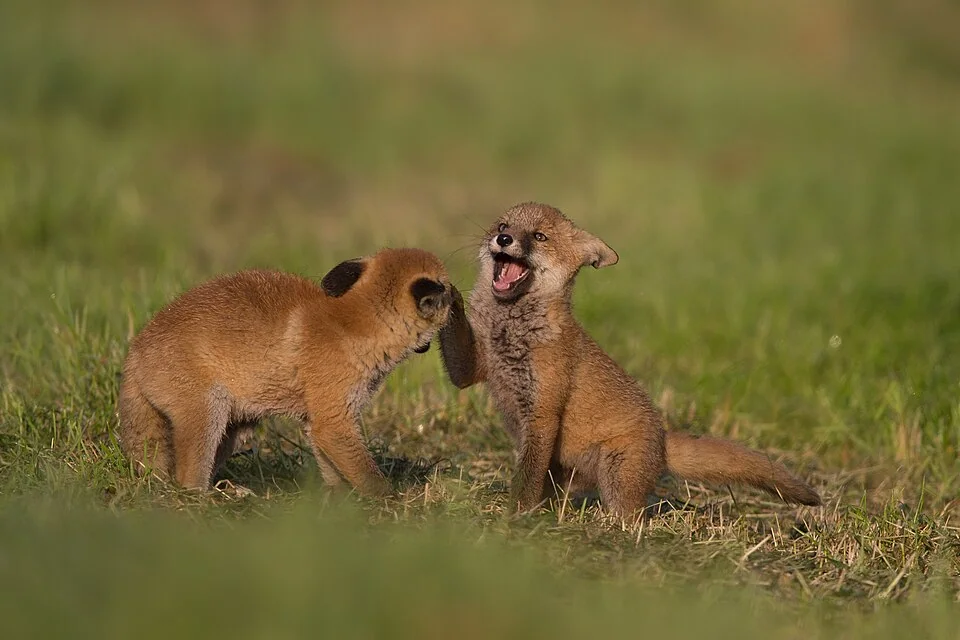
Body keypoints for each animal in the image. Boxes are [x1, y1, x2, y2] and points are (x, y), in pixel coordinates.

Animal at [117, 247, 453, 497]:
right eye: (449, 290)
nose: (458, 294)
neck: (353, 327)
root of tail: (134, 352)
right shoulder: (333, 419)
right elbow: (366, 474)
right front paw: (388, 501)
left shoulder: (317, 418)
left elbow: (331, 470)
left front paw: (337, 501)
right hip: (208, 413)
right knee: (186, 478)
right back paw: (207, 501)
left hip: (234, 427)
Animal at [439, 202, 821, 517]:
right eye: (503, 225)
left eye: (539, 236)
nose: (503, 239)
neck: (510, 331)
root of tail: (662, 439)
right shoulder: (472, 370)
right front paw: (445, 295)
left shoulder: (543, 412)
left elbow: (526, 477)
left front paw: (516, 516)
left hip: (616, 477)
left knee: (632, 517)